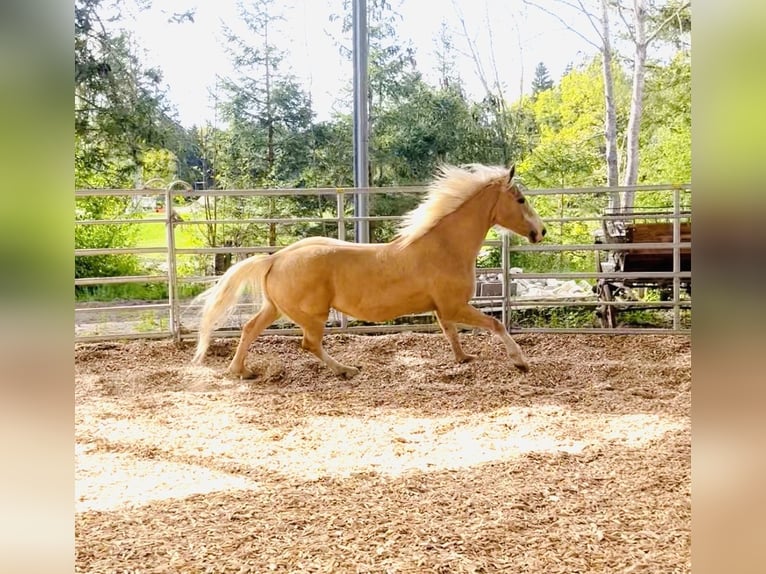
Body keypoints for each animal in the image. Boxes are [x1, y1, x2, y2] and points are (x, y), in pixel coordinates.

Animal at [192, 163, 547, 378]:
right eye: (520, 199)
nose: (540, 232)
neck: (445, 246)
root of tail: (275, 258)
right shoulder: (455, 305)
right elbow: (496, 325)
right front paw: (520, 361)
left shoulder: (442, 309)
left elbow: (450, 333)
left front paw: (464, 359)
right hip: (312, 314)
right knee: (308, 344)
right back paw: (346, 369)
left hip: (276, 308)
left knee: (250, 328)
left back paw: (241, 371)